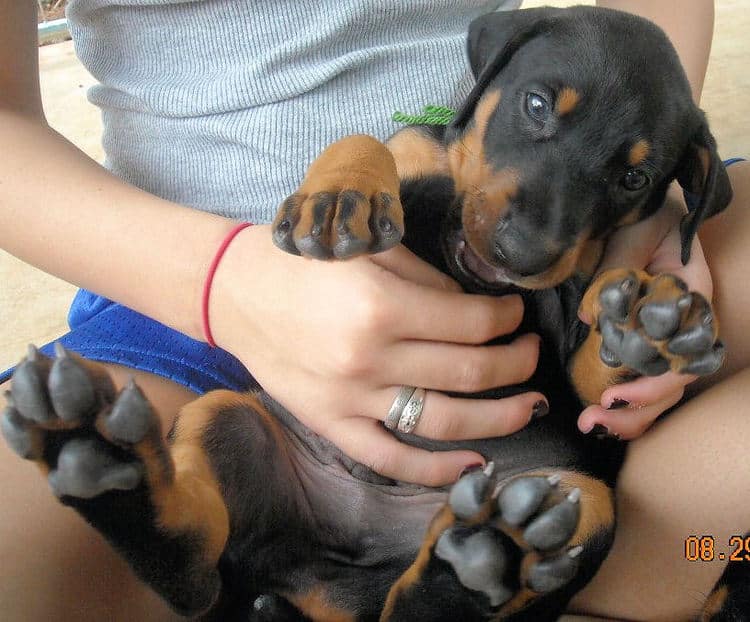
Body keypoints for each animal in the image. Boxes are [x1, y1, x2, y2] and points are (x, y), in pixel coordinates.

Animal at [0, 6, 740, 622]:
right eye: (535, 105)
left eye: (634, 179)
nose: (522, 254)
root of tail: (331, 584)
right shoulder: (419, 157)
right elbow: (375, 138)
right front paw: (339, 196)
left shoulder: (575, 351)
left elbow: (595, 379)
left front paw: (649, 330)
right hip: (228, 415)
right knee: (193, 573)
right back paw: (92, 456)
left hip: (574, 495)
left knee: (421, 603)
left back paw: (485, 559)